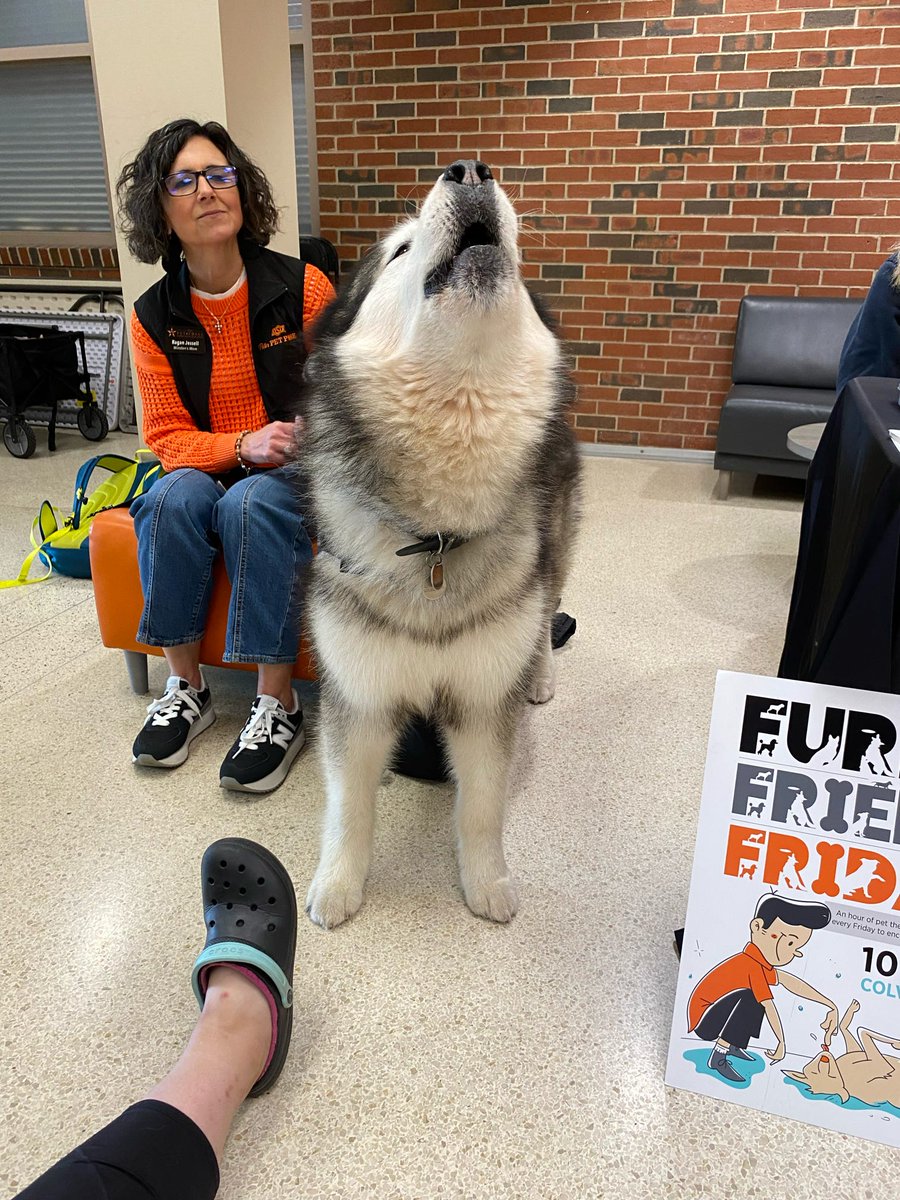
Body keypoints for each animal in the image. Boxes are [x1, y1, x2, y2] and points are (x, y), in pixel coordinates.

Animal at [303, 159, 580, 926]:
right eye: (399, 251)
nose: (471, 169)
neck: (434, 540)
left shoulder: (484, 703)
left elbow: (481, 807)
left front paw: (485, 881)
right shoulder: (358, 694)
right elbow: (346, 805)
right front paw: (339, 882)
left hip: (556, 552)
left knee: (547, 610)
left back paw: (541, 674)